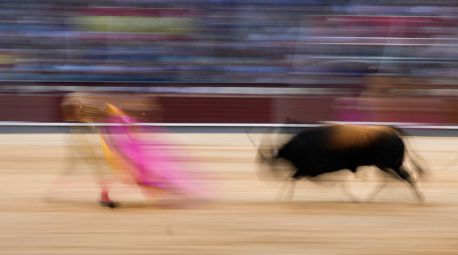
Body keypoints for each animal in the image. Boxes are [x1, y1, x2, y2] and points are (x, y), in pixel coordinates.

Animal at [258, 124, 426, 202]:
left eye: (271, 163)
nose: (268, 176)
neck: (299, 146)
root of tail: (393, 132)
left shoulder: (308, 168)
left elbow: (293, 178)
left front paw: (282, 198)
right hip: (386, 165)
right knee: (393, 179)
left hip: (390, 164)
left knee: (404, 177)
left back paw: (418, 198)